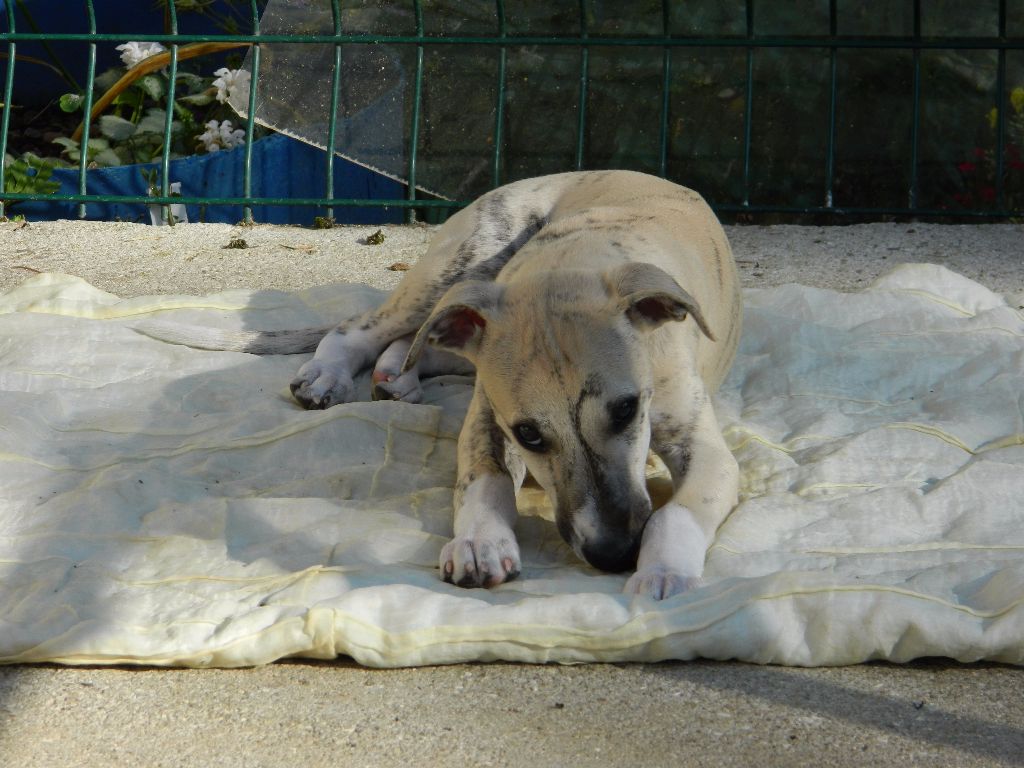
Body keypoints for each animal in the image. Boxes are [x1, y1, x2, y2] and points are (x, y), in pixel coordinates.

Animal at [140, 173, 741, 602]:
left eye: (626, 409)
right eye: (528, 435)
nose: (613, 554)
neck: (574, 260)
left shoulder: (707, 448)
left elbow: (677, 510)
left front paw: (663, 572)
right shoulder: (486, 419)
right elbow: (483, 481)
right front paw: (480, 542)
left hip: (464, 294)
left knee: (418, 343)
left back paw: (394, 377)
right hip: (457, 267)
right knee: (360, 327)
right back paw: (329, 374)